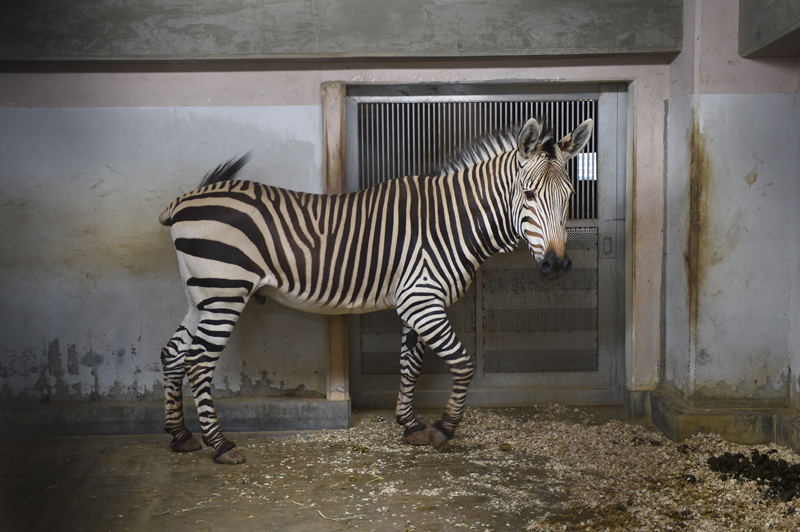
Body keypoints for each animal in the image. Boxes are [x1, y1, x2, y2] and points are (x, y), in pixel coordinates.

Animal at [158, 116, 592, 462]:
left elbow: (410, 363)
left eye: (570, 196)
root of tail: (182, 201)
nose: (557, 265)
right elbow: (463, 363)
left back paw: (180, 436)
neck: (454, 222)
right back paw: (221, 445)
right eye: (529, 194)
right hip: (225, 293)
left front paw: (410, 425)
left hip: (201, 296)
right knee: (198, 362)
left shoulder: (417, 301)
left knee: (173, 354)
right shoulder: (421, 301)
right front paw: (443, 429)